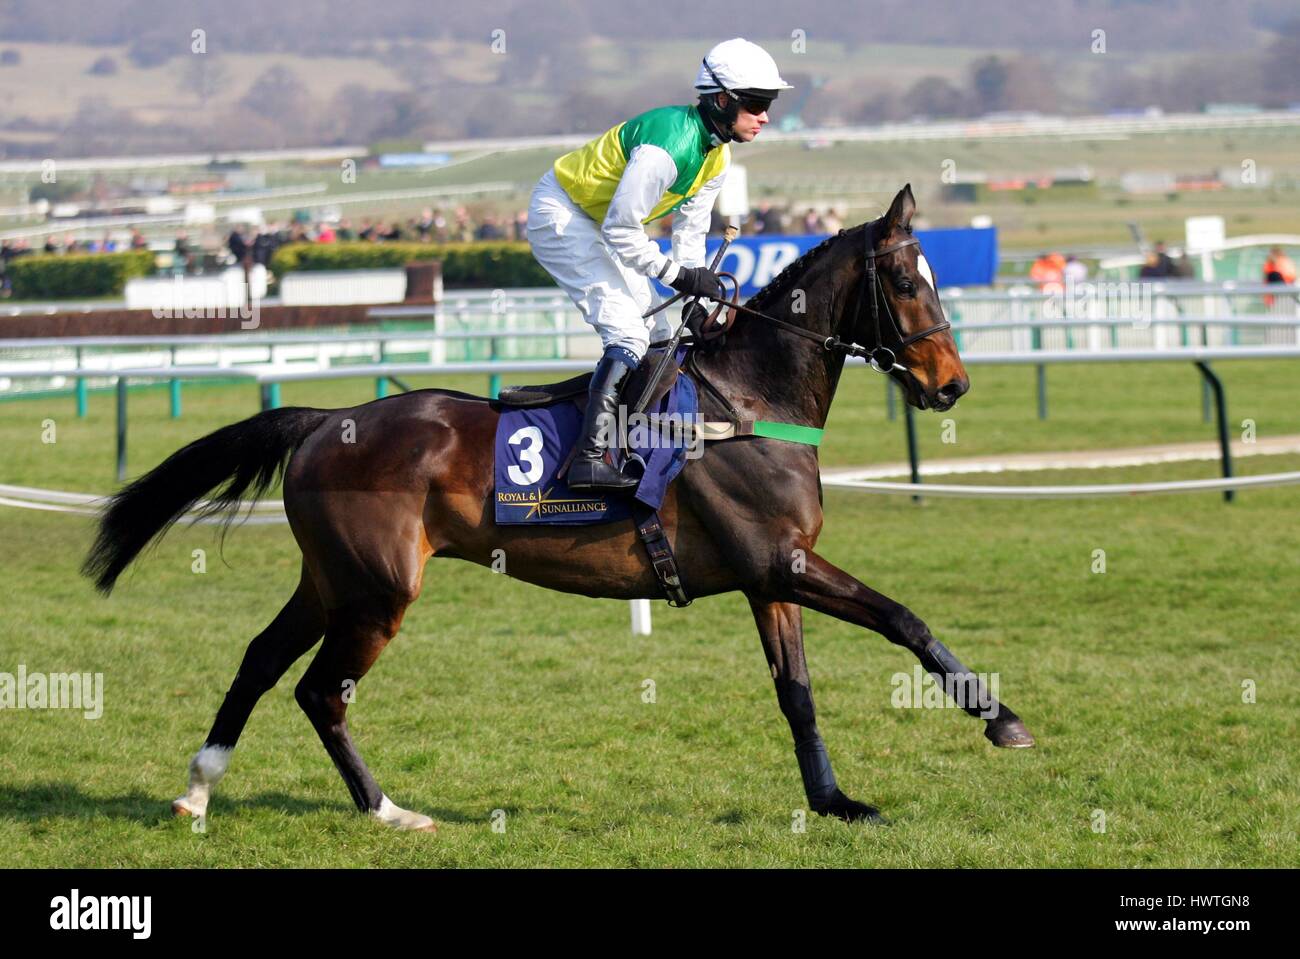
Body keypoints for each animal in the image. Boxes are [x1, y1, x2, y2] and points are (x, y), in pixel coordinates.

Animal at [81, 184, 1034, 831]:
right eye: (906, 282)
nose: (953, 385)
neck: (747, 399)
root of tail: (325, 418)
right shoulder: (782, 561)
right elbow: (902, 617)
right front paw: (1002, 720)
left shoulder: (769, 577)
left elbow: (797, 694)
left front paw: (835, 799)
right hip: (378, 590)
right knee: (321, 691)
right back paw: (386, 808)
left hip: (331, 580)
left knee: (258, 660)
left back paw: (199, 787)